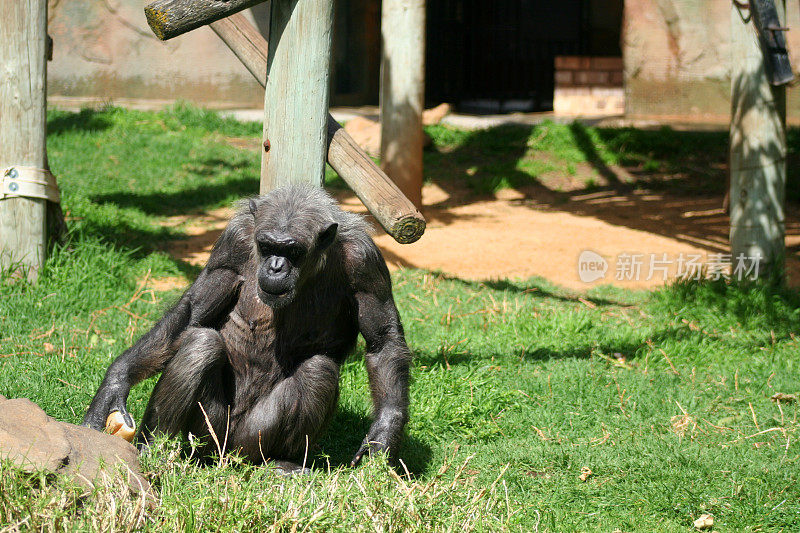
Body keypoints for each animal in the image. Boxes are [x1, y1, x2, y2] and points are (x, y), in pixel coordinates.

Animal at [83, 184, 412, 474]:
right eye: (266, 246)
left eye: (293, 251)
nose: (276, 266)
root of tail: (228, 455)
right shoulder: (233, 242)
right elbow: (192, 314)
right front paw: (115, 384)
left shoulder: (366, 262)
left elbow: (383, 342)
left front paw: (385, 432)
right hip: (209, 433)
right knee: (200, 344)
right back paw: (152, 449)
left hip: (254, 438)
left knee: (317, 370)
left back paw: (282, 463)